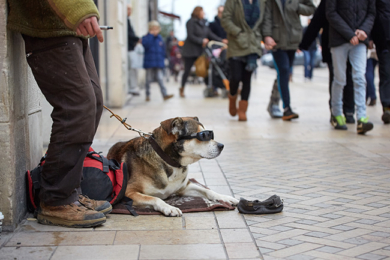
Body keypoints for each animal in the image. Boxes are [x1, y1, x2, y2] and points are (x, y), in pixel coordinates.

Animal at [107, 117, 241, 216]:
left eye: (209, 134)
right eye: (202, 136)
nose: (222, 146)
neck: (171, 163)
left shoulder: (184, 188)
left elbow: (207, 190)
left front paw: (225, 198)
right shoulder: (129, 191)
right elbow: (155, 198)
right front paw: (169, 207)